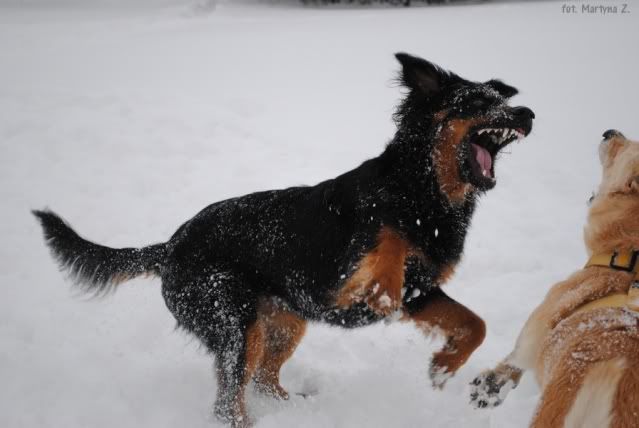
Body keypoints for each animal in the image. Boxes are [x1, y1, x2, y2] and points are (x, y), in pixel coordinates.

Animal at [33, 53, 534, 427]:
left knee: (262, 380)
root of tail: (170, 247)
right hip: (232, 320)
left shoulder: (422, 290)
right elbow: (385, 243)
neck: (424, 191)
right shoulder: (359, 263)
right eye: (474, 100)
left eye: (502, 99)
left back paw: (295, 408)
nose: (527, 113)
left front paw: (442, 367)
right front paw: (379, 288)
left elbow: (474, 323)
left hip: (283, 321)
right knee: (229, 400)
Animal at [470, 130, 639, 428]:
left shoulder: (538, 324)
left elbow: (514, 359)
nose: (609, 132)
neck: (627, 254)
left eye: (622, 148)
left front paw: (490, 386)